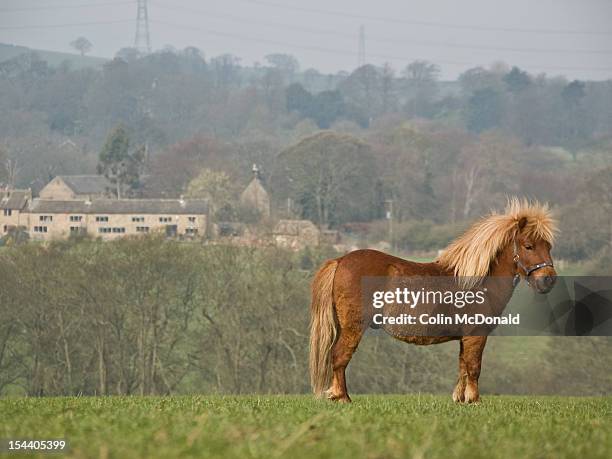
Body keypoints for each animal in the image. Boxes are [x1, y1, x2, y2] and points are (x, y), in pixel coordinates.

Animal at [310, 199, 560, 404]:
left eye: (548, 246)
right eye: (528, 246)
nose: (548, 281)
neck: (477, 281)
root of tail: (341, 260)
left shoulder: (464, 338)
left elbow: (462, 367)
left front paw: (461, 399)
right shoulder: (476, 335)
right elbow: (474, 367)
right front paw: (475, 400)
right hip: (353, 326)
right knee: (339, 356)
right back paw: (342, 397)